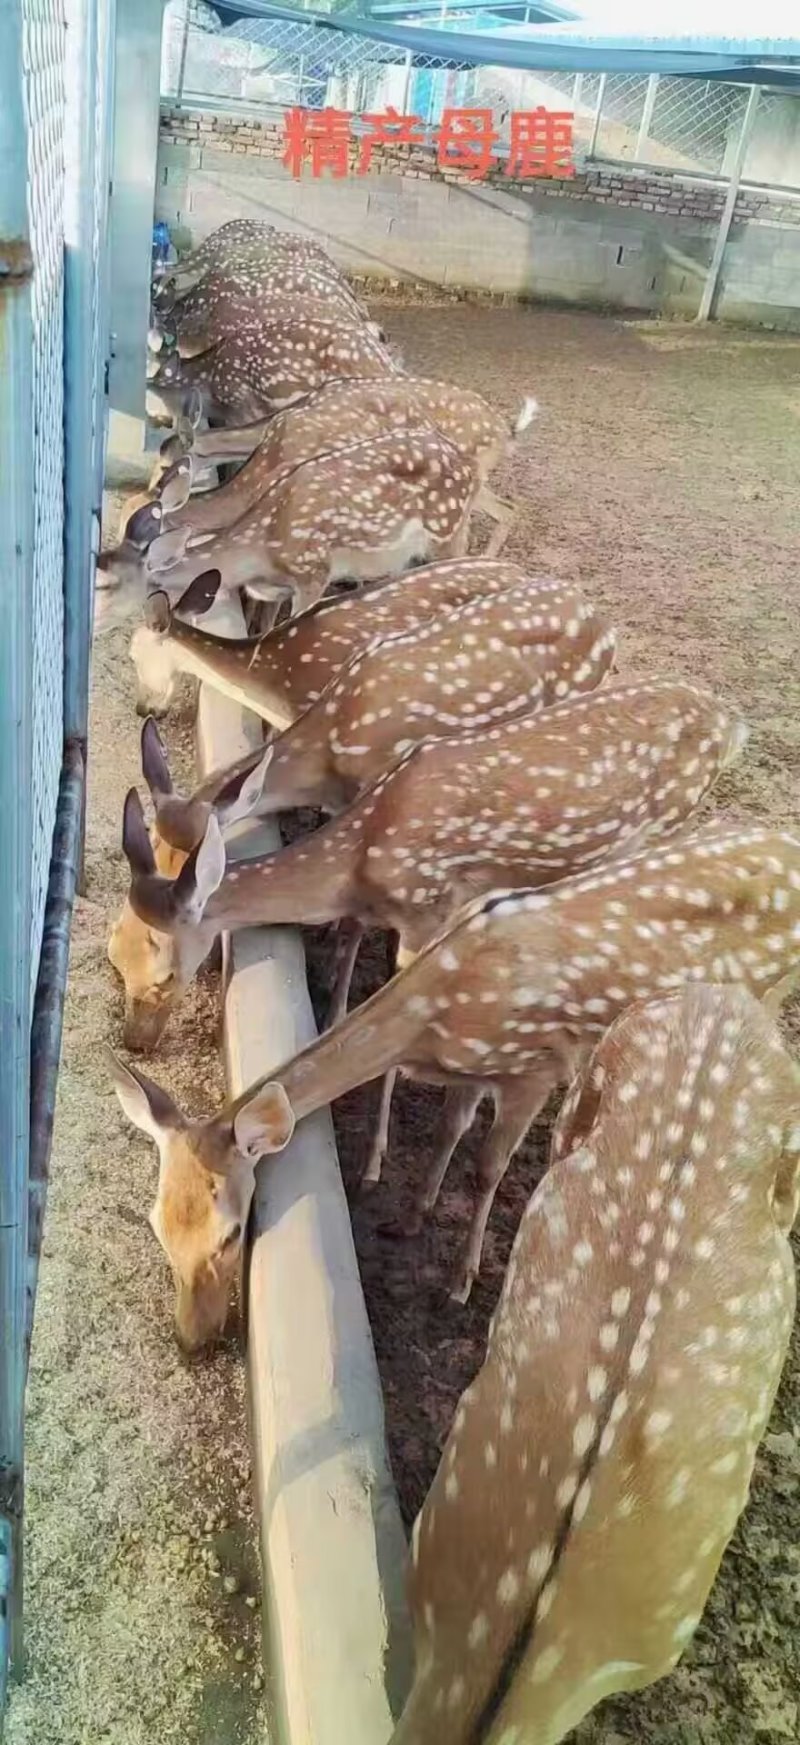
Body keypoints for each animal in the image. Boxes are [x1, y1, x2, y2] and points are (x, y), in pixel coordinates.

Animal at [109, 822, 800, 1344]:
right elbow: (449, 1127)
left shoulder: (532, 1069)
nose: (192, 1339)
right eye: (157, 1224)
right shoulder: (475, 1067)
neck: (436, 1012)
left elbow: (488, 1166)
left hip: (768, 993)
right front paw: (411, 1218)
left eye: (232, 1234)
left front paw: (461, 1283)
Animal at [111, 679, 744, 1059]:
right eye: (114, 954)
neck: (360, 857)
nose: (134, 1042)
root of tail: (729, 722)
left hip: (668, 822)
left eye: (165, 975)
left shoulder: (427, 912)